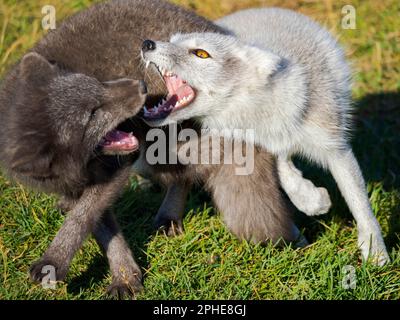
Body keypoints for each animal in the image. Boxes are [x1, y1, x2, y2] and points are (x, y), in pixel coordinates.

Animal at [140, 7, 388, 264]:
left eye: (201, 53)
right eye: (172, 41)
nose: (147, 43)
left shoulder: (333, 144)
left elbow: (359, 202)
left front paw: (375, 252)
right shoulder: (260, 140)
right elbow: (283, 167)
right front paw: (312, 200)